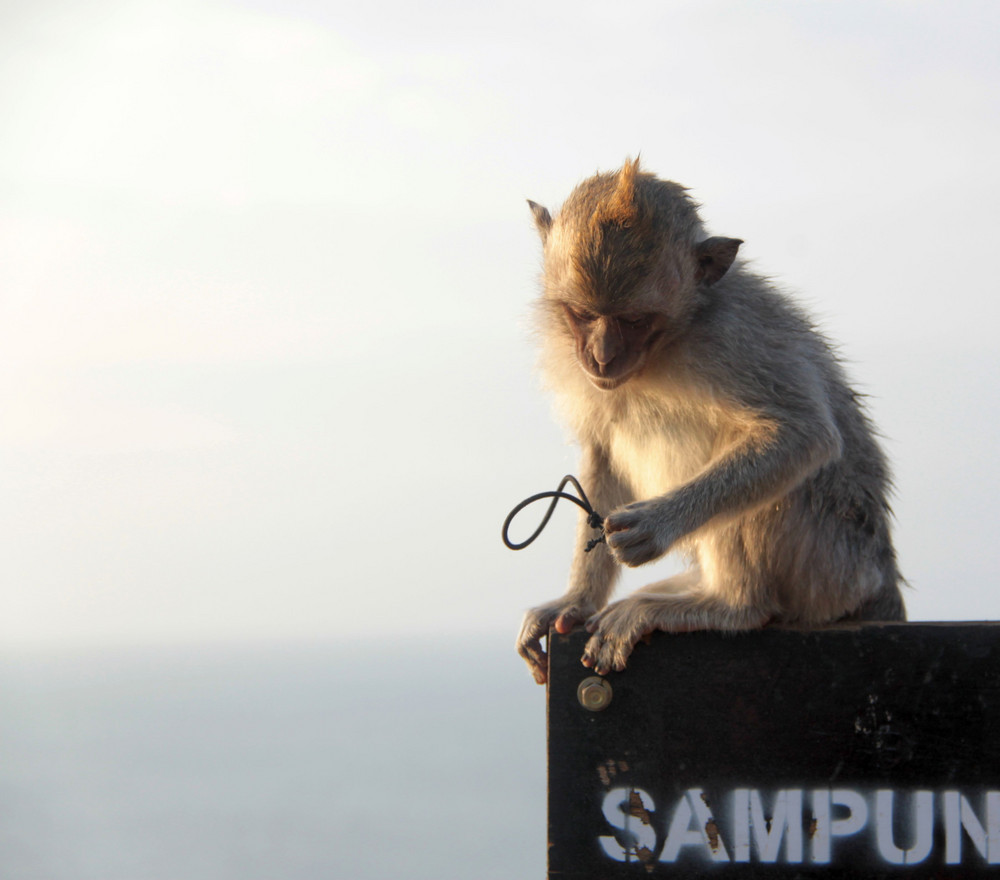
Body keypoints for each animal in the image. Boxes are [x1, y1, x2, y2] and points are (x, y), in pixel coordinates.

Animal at [520, 160, 904, 688]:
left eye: (634, 320)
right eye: (580, 314)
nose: (600, 357)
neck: (667, 345)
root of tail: (880, 580)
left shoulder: (731, 338)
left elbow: (804, 434)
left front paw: (658, 524)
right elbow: (602, 450)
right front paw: (575, 601)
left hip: (832, 566)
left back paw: (730, 604)